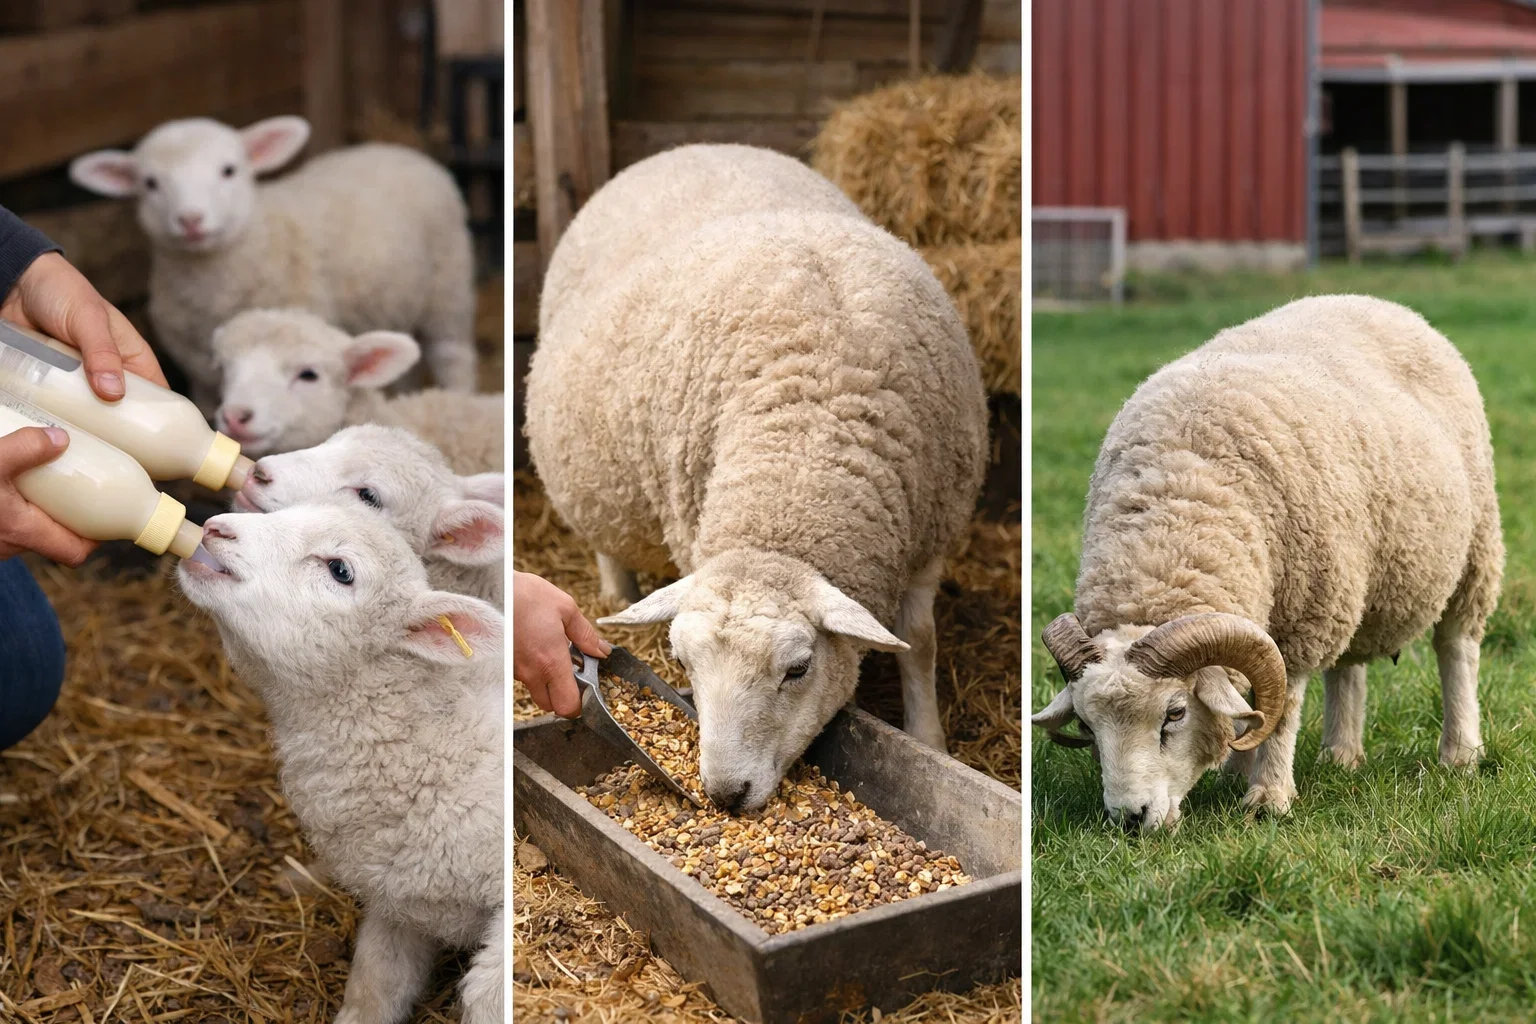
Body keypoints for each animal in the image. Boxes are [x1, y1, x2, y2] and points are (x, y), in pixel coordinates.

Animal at [69, 116, 477, 412]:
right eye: (150, 183)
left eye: (229, 170)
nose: (191, 220)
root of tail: (398, 148)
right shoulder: (201, 376)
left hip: (449, 289)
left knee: (453, 356)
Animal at [524, 143, 989, 813]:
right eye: (682, 664)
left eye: (797, 669)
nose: (724, 793)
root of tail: (692, 147)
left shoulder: (930, 535)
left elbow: (920, 641)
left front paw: (930, 738)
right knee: (604, 539)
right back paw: (613, 593)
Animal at [1032, 295, 1504, 832]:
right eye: (1087, 726)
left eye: (1174, 714)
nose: (1131, 818)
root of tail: (1375, 301)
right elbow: (1250, 696)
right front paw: (1238, 768)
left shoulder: (1302, 620)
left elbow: (1282, 706)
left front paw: (1267, 797)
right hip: (1353, 574)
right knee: (1348, 667)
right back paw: (1341, 754)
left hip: (1472, 549)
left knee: (1457, 647)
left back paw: (1460, 754)